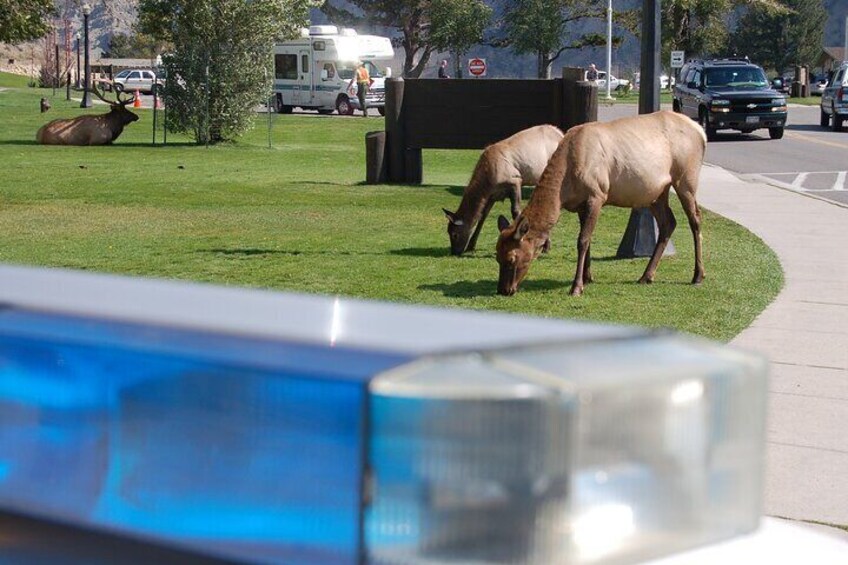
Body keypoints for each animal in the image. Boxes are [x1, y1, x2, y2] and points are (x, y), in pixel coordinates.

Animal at [444, 125, 564, 256]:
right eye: (448, 232)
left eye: (455, 234)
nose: (454, 252)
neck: (487, 182)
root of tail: (561, 133)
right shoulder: (492, 195)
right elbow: (482, 216)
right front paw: (471, 245)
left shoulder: (515, 180)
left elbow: (516, 211)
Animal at [496, 109, 708, 296]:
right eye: (497, 254)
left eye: (512, 258)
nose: (503, 290)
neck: (565, 188)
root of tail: (701, 132)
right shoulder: (580, 205)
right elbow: (587, 240)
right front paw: (587, 277)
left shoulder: (597, 195)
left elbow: (582, 240)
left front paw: (576, 287)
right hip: (656, 193)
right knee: (668, 222)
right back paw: (646, 276)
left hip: (685, 179)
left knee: (695, 219)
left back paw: (698, 275)